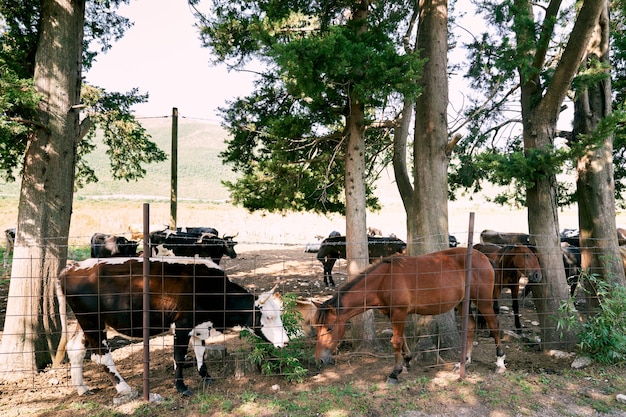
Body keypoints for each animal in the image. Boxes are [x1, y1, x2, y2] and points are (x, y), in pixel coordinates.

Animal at [56, 256, 288, 396]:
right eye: (268, 317)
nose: (286, 342)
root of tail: (71, 268)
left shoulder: (200, 326)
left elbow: (200, 353)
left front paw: (206, 377)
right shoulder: (182, 325)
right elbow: (179, 357)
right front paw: (182, 388)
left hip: (85, 322)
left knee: (75, 349)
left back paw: (82, 387)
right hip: (92, 322)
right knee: (101, 356)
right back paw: (124, 388)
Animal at [312, 247, 502, 384]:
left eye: (330, 328)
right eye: (316, 328)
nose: (319, 360)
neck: (383, 280)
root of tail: (484, 257)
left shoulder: (399, 312)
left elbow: (396, 341)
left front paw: (395, 373)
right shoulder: (394, 314)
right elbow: (401, 338)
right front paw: (407, 360)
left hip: (483, 301)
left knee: (494, 326)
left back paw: (500, 363)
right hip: (463, 303)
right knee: (470, 326)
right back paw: (464, 361)